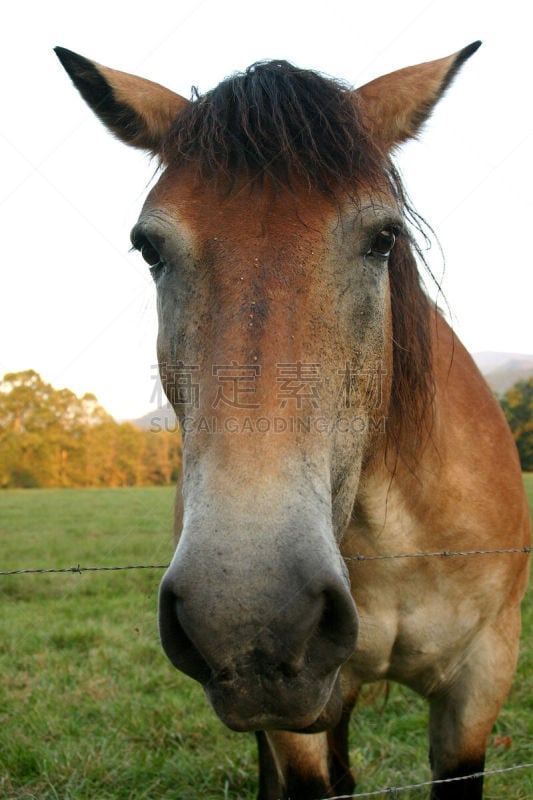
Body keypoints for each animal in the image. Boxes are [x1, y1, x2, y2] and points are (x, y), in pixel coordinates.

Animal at [56, 43, 528, 800]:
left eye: (383, 237)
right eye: (149, 247)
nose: (249, 615)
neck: (395, 534)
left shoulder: (481, 680)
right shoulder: (290, 713)